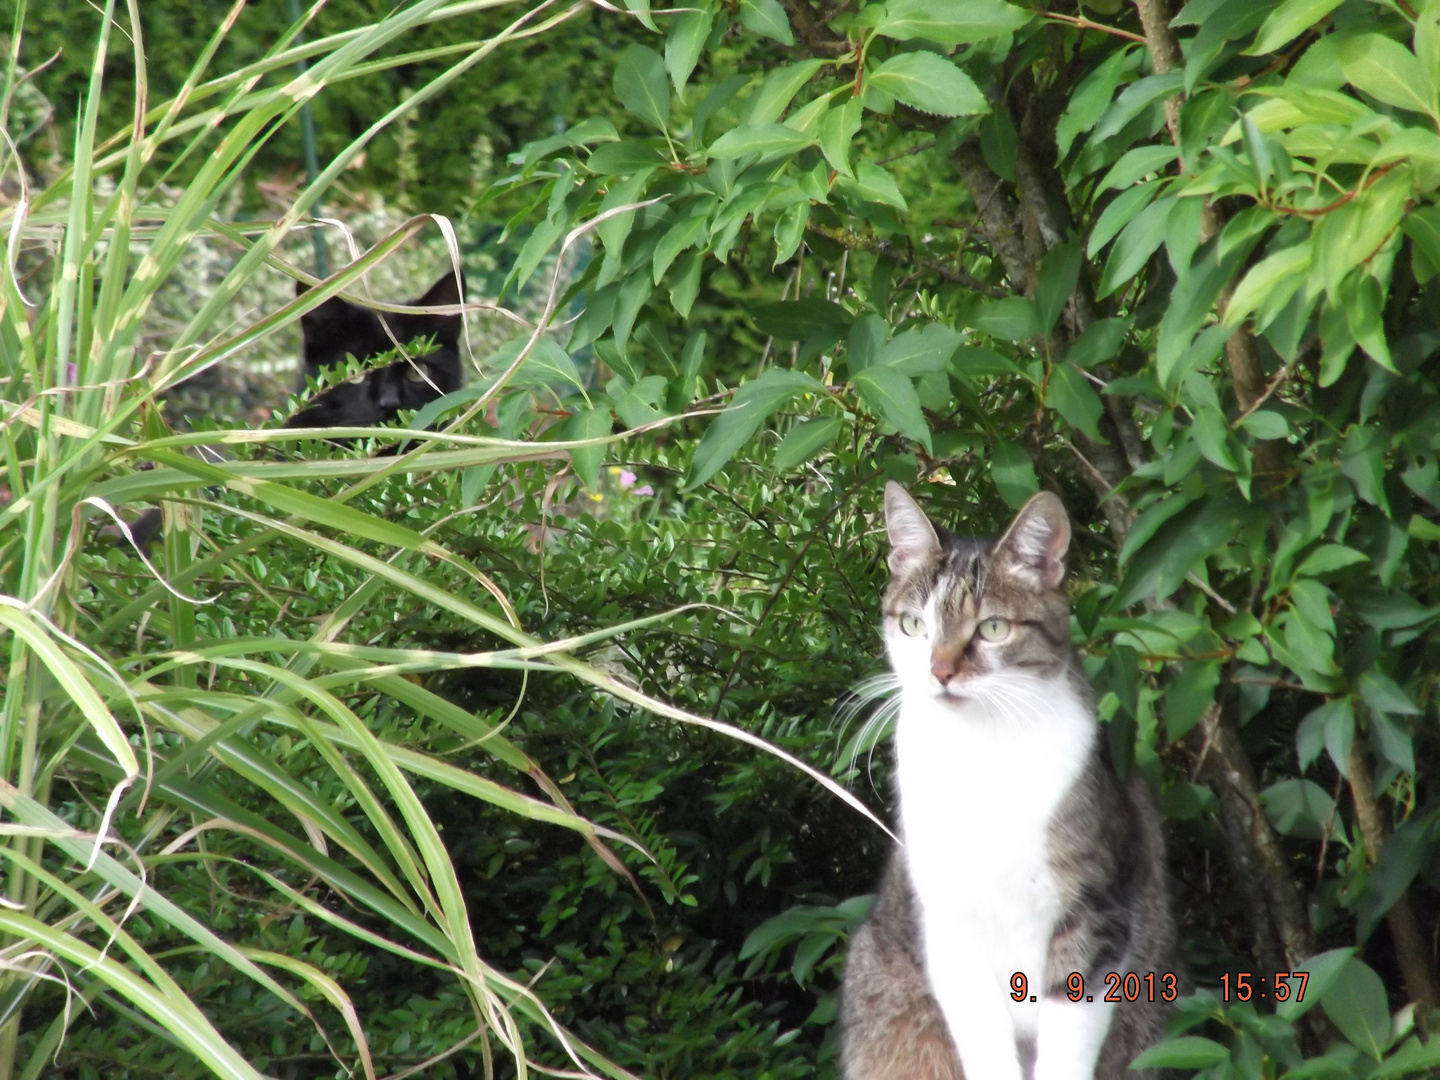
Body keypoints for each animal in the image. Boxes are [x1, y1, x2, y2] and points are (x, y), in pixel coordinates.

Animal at [840, 489, 1175, 1080]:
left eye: (992, 629)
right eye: (915, 625)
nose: (939, 671)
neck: (983, 751)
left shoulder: (1095, 912)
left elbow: (1067, 1045)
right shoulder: (948, 925)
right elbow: (983, 1041)